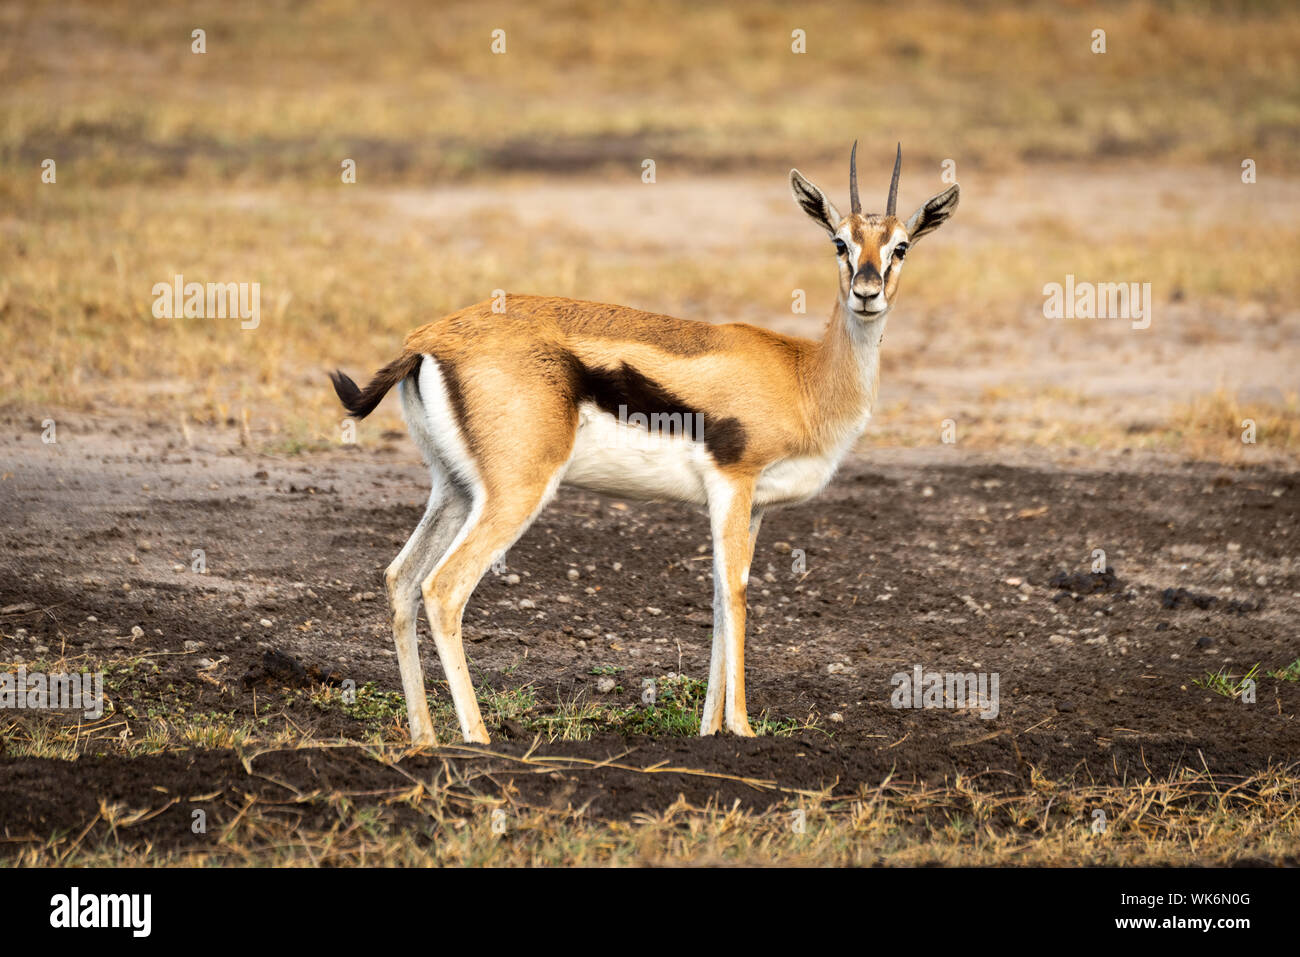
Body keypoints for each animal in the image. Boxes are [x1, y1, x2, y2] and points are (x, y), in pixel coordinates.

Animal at [330, 142, 959, 745]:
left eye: (901, 246)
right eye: (839, 242)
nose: (867, 292)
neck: (804, 377)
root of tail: (425, 342)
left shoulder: (753, 507)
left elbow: (719, 598)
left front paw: (708, 734)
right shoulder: (733, 485)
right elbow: (737, 594)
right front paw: (743, 731)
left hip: (456, 489)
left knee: (401, 580)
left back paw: (425, 738)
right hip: (516, 491)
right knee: (443, 589)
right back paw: (478, 739)